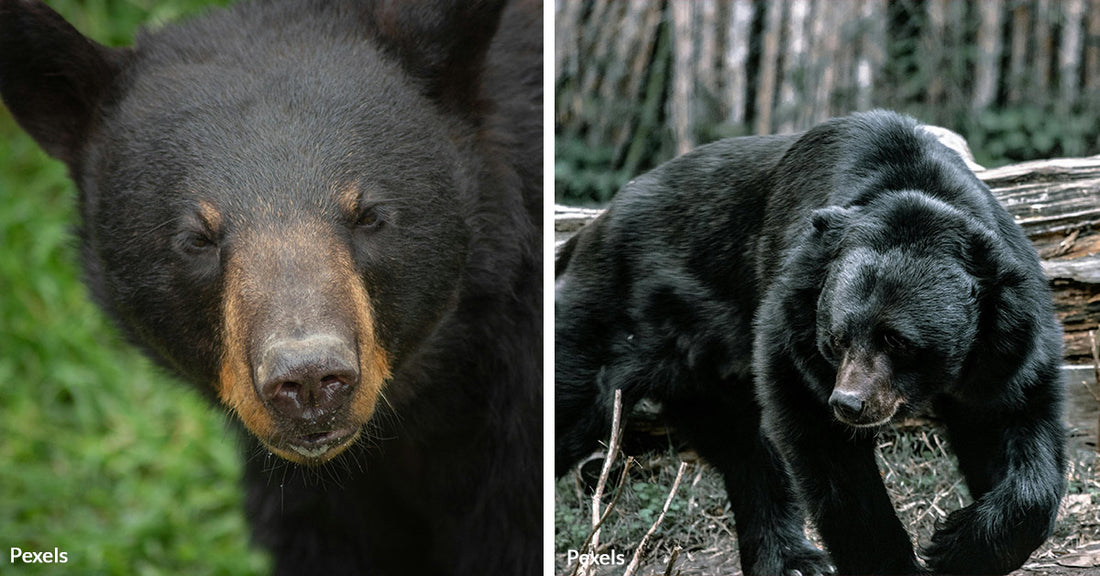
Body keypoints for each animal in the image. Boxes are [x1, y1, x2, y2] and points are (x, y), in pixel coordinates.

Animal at [555, 111, 1066, 575]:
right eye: (836, 339)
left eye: (898, 341)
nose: (850, 403)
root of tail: (593, 228)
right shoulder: (793, 324)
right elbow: (827, 453)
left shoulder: (1005, 342)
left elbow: (1014, 423)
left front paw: (958, 544)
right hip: (610, 321)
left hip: (704, 373)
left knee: (745, 452)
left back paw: (790, 560)